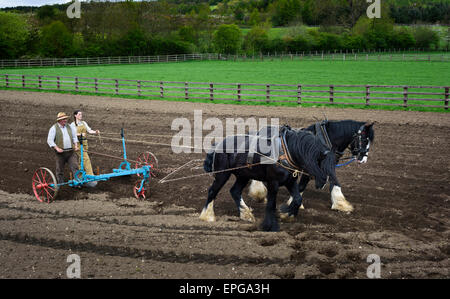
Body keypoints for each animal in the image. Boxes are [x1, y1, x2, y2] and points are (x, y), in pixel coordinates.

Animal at [200, 124, 338, 232]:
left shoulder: (291, 181)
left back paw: (246, 214)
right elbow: (271, 204)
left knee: (235, 191)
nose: (323, 183)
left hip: (243, 176)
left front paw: (287, 214)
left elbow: (298, 199)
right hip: (222, 174)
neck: (286, 152)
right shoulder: (273, 182)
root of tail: (219, 144)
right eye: (322, 163)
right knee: (213, 191)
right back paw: (207, 216)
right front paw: (270, 225)